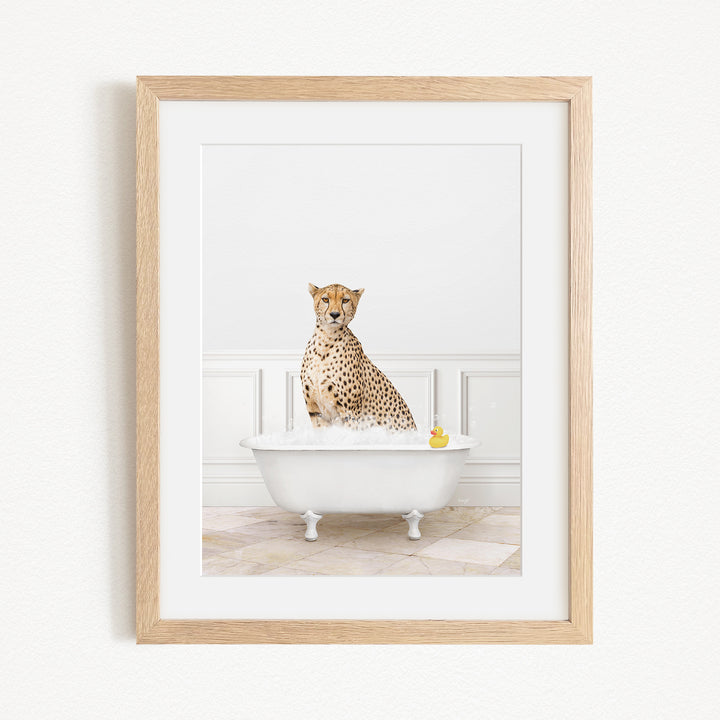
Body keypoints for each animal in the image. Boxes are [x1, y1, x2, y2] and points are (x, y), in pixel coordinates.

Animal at [300, 283, 417, 432]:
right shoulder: (315, 411)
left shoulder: (350, 413)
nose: (334, 314)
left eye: (345, 300)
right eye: (325, 299)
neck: (326, 339)